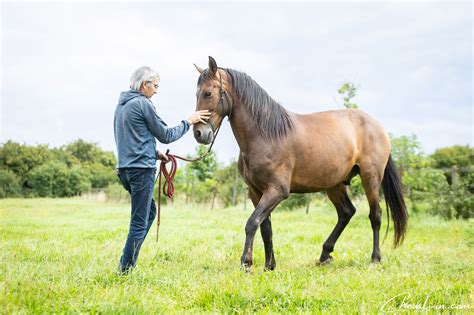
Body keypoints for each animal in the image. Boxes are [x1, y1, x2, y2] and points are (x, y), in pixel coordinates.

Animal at [193, 56, 408, 272]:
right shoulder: (255, 191)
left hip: (370, 178)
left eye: (208, 93)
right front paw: (269, 265)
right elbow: (265, 228)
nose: (199, 133)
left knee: (375, 215)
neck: (266, 135)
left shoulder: (277, 190)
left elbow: (252, 222)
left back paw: (375, 258)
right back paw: (325, 255)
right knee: (346, 213)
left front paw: (246, 263)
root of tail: (377, 126)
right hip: (334, 184)